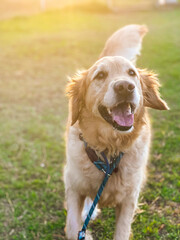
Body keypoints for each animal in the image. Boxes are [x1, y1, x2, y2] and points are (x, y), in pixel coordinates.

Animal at [63, 25, 169, 239]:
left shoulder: (129, 199)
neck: (110, 147)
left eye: (132, 73)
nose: (125, 86)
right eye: (100, 76)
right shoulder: (72, 185)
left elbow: (122, 231)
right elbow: (72, 227)